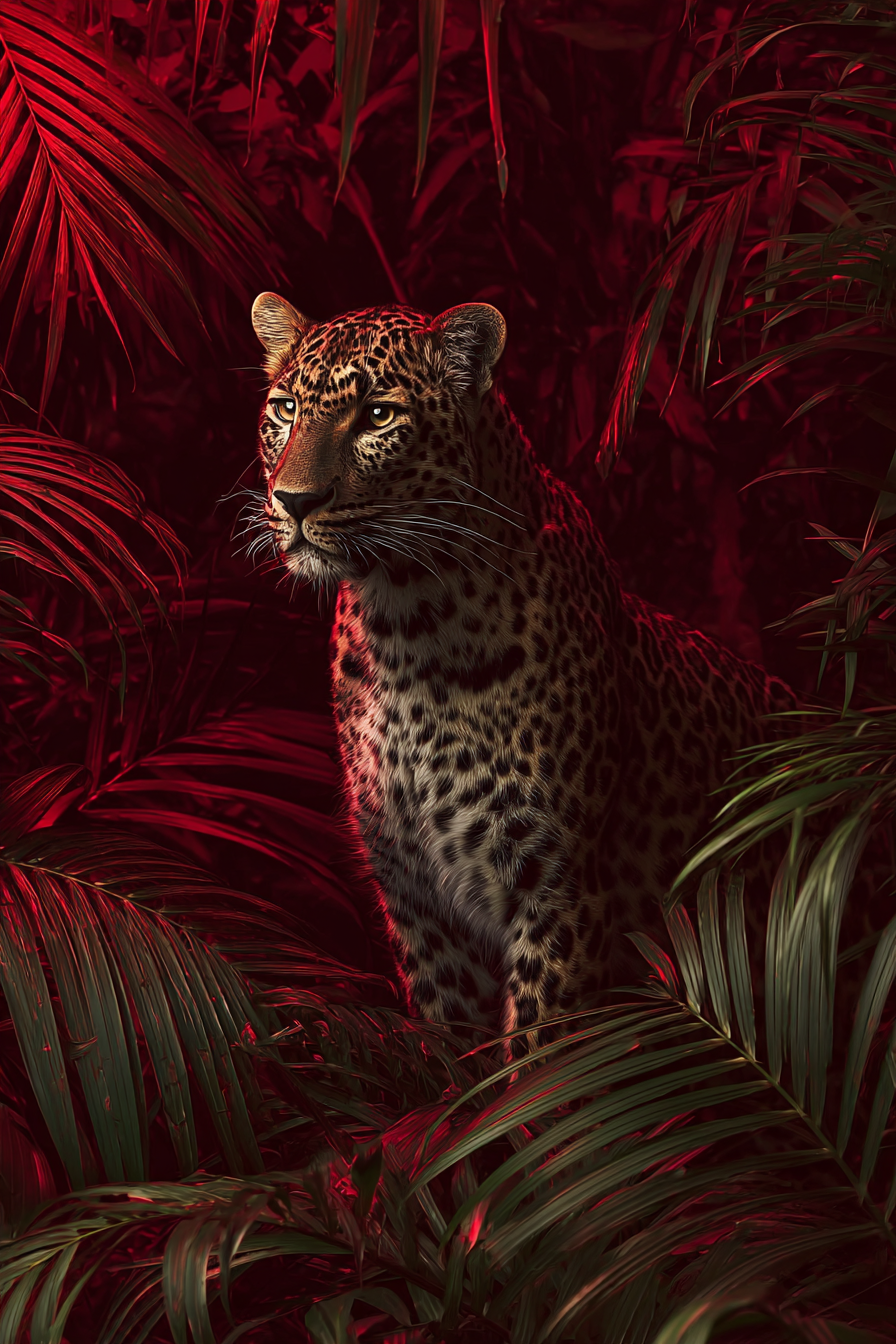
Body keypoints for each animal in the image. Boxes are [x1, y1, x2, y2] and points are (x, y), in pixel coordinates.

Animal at [249, 291, 797, 1054]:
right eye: (285, 409)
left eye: (379, 416)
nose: (293, 500)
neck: (405, 625)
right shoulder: (417, 898)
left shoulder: (556, 888)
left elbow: (539, 1052)